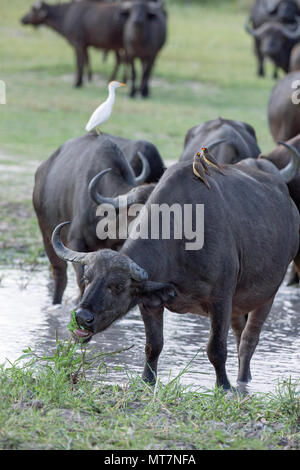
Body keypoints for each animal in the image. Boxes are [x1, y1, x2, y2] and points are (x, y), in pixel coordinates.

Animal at [52, 149, 298, 388]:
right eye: (87, 279)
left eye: (118, 286)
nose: (82, 317)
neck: (182, 239)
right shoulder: (150, 303)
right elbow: (153, 345)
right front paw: (148, 381)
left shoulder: (221, 300)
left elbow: (216, 349)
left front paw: (224, 386)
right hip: (239, 305)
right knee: (239, 334)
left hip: (267, 296)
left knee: (249, 339)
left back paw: (243, 381)